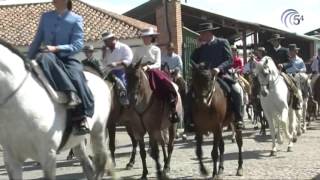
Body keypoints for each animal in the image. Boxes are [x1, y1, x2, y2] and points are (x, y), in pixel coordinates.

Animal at [0, 40, 114, 180]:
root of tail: (101, 80)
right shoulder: (11, 159)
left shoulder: (48, 155)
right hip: (78, 140)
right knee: (87, 164)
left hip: (98, 131)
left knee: (100, 162)